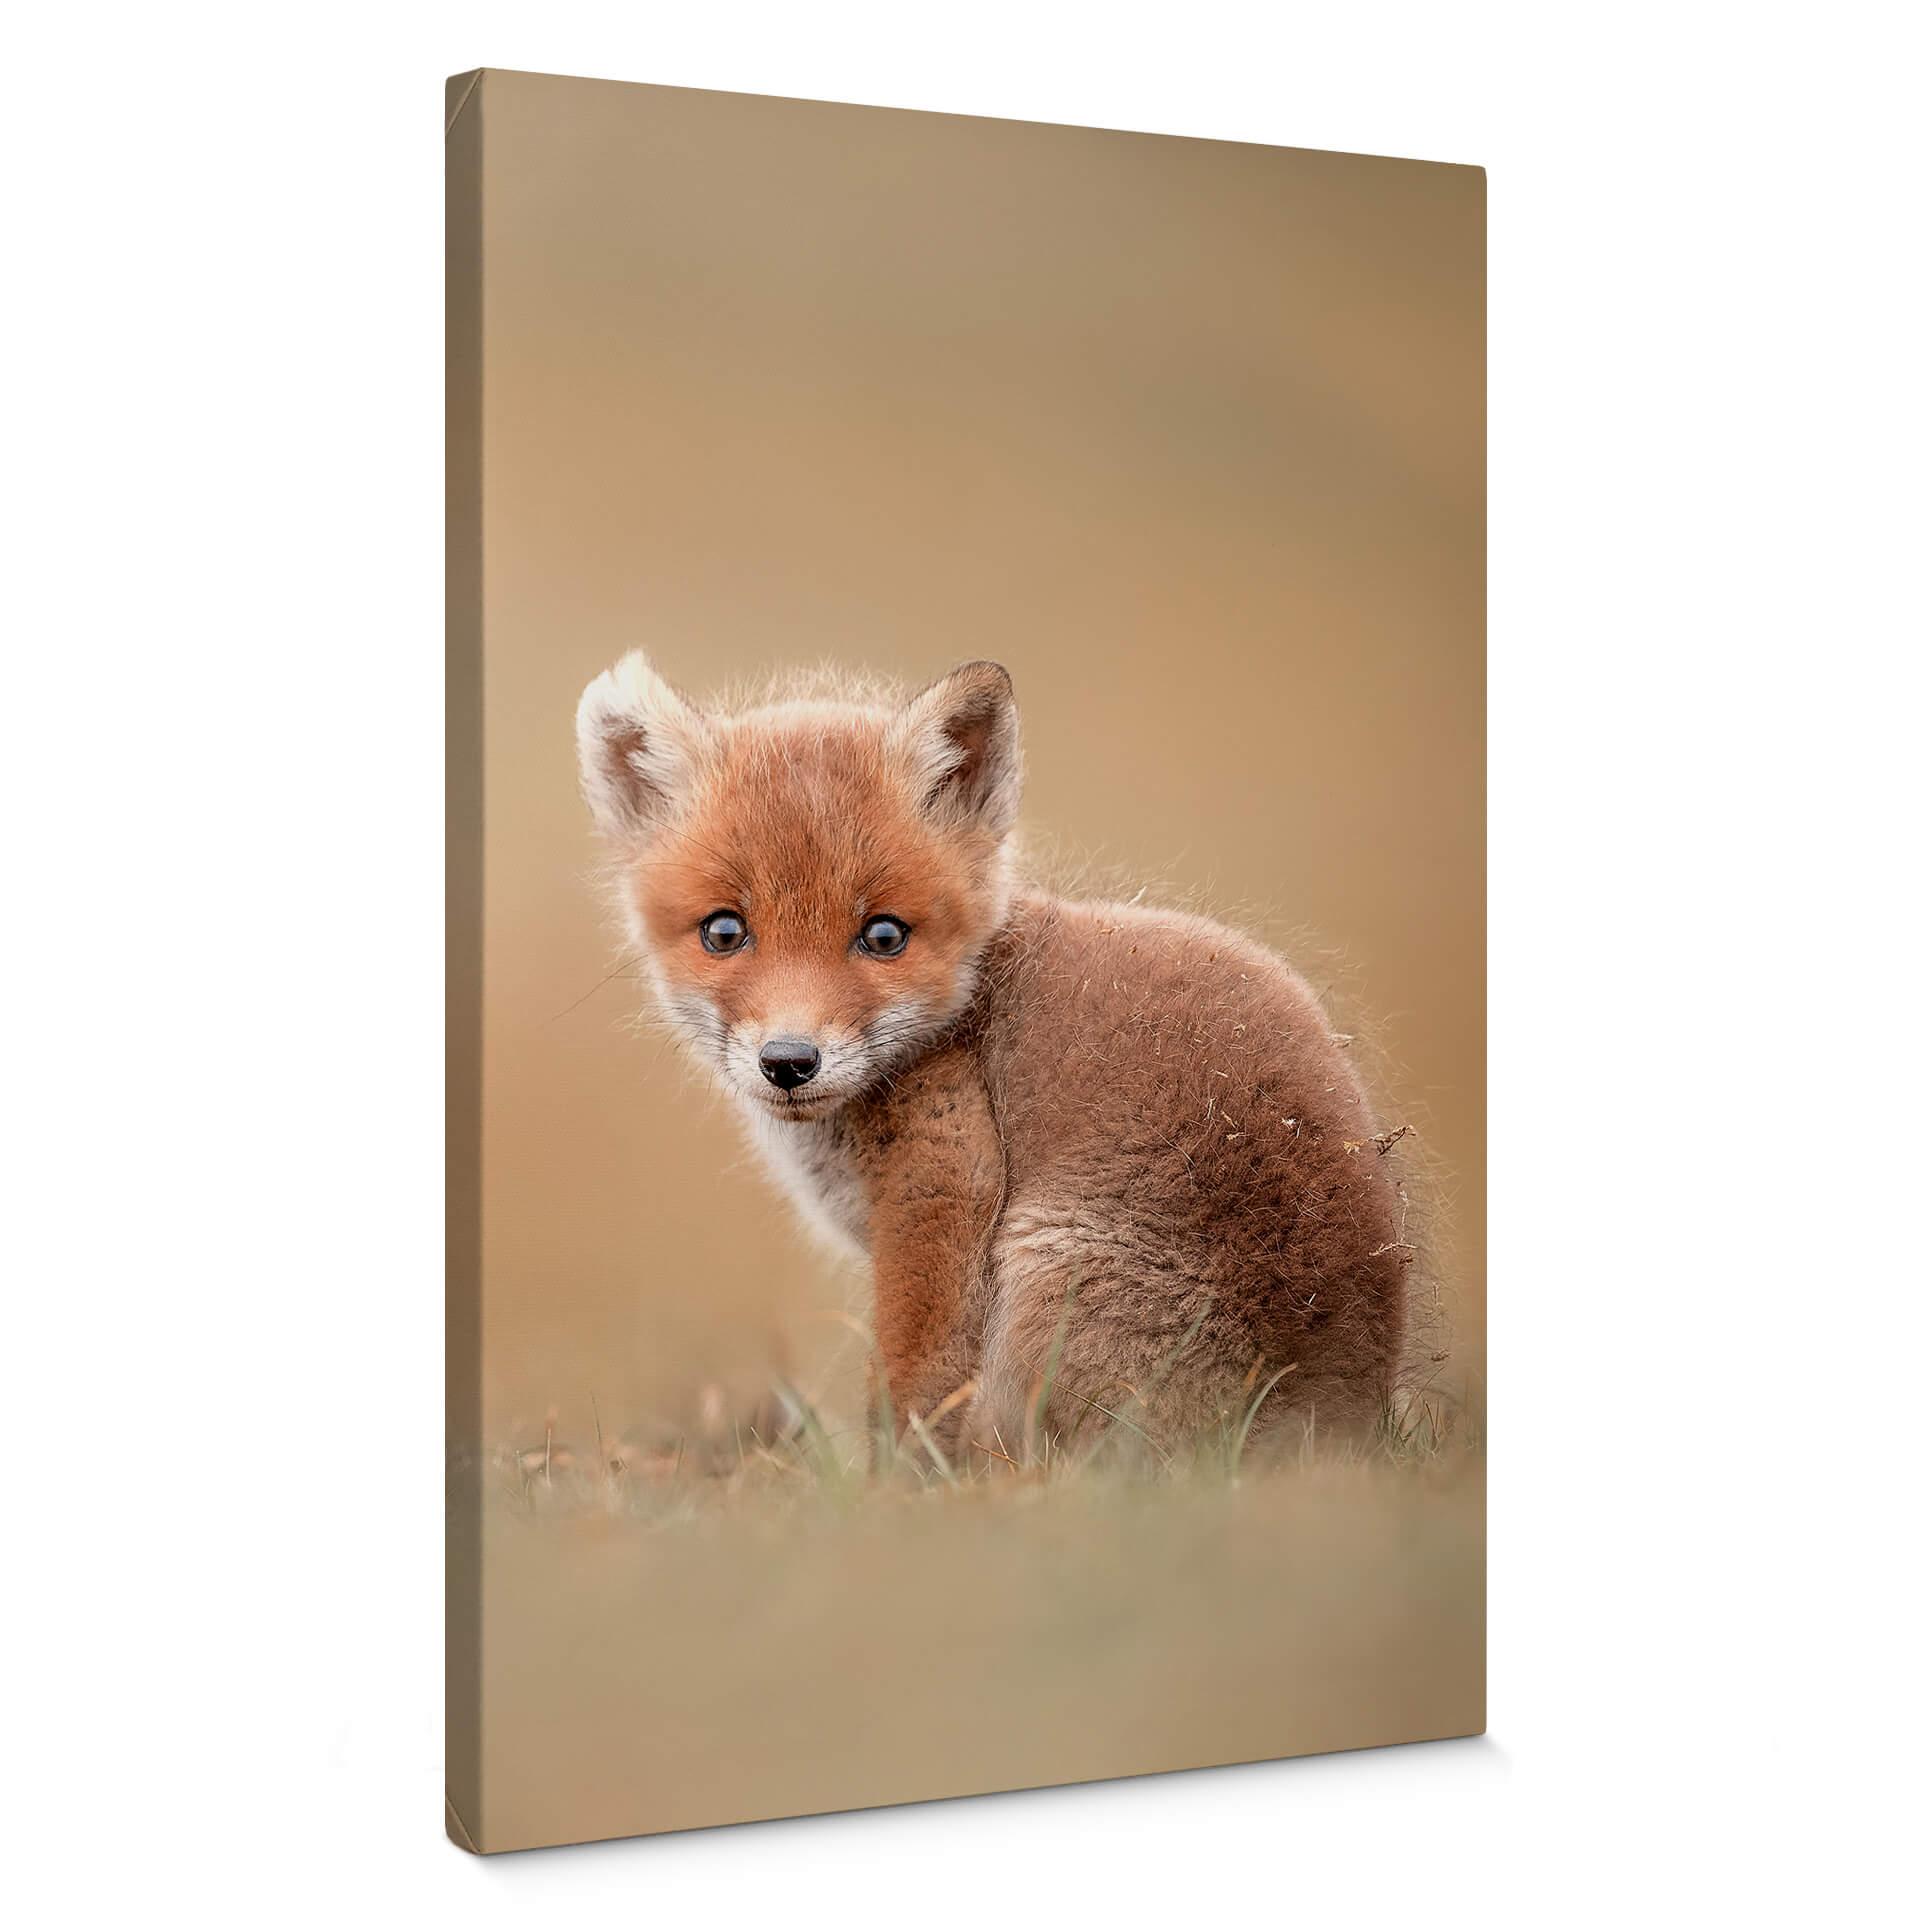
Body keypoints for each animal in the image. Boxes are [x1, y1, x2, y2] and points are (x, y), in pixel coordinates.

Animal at [575, 652, 1412, 1457]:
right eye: (724, 931)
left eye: (884, 936)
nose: (788, 1061)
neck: (963, 1016)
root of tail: (1337, 1422)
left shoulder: (944, 1188)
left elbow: (911, 1398)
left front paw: (895, 1493)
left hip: (1045, 1278)